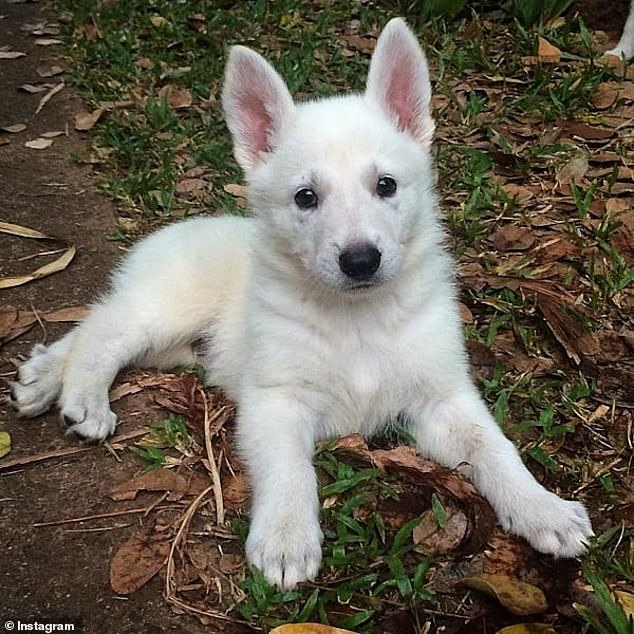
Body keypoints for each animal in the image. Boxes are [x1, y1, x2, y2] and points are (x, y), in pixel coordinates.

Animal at [11, 21, 592, 592]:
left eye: (386, 186)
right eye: (305, 197)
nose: (360, 260)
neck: (358, 318)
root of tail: (170, 232)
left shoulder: (443, 399)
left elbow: (494, 447)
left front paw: (542, 508)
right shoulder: (275, 400)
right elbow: (291, 469)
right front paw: (286, 539)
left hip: (172, 341)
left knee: (95, 321)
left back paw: (41, 378)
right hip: (169, 309)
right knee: (103, 330)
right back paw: (84, 398)